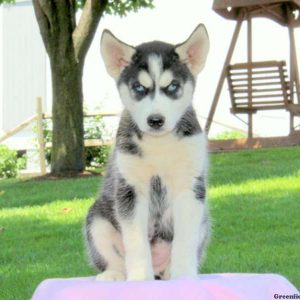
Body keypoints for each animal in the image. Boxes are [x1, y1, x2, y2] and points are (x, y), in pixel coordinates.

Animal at [85, 24, 211, 282]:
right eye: (139, 88)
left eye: (172, 86)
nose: (155, 120)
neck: (159, 145)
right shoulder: (130, 190)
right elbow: (135, 242)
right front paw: (140, 278)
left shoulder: (190, 189)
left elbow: (184, 241)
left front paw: (185, 277)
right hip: (97, 221)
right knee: (113, 258)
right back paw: (114, 274)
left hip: (204, 220)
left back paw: (171, 271)